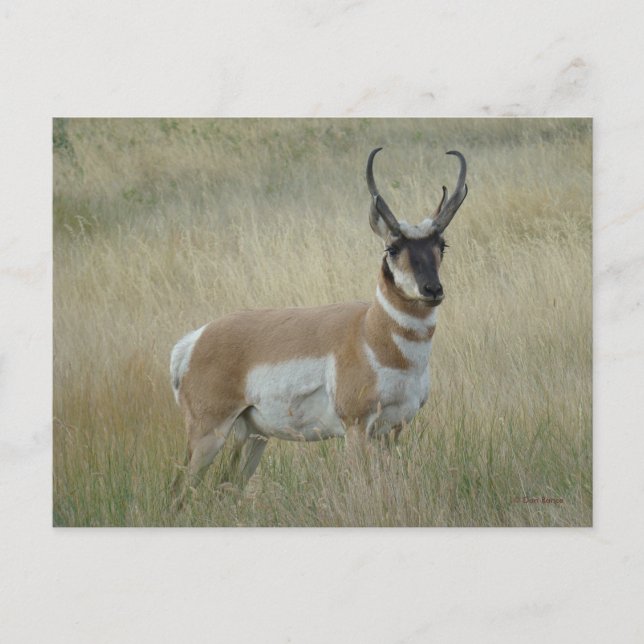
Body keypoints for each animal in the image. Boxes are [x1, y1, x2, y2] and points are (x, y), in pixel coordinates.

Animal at [170, 148, 467, 505]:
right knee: (178, 491)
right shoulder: (356, 427)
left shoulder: (393, 430)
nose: (432, 289)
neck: (370, 332)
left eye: (442, 245)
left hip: (253, 437)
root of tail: (195, 340)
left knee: (226, 486)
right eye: (392, 248)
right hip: (208, 434)